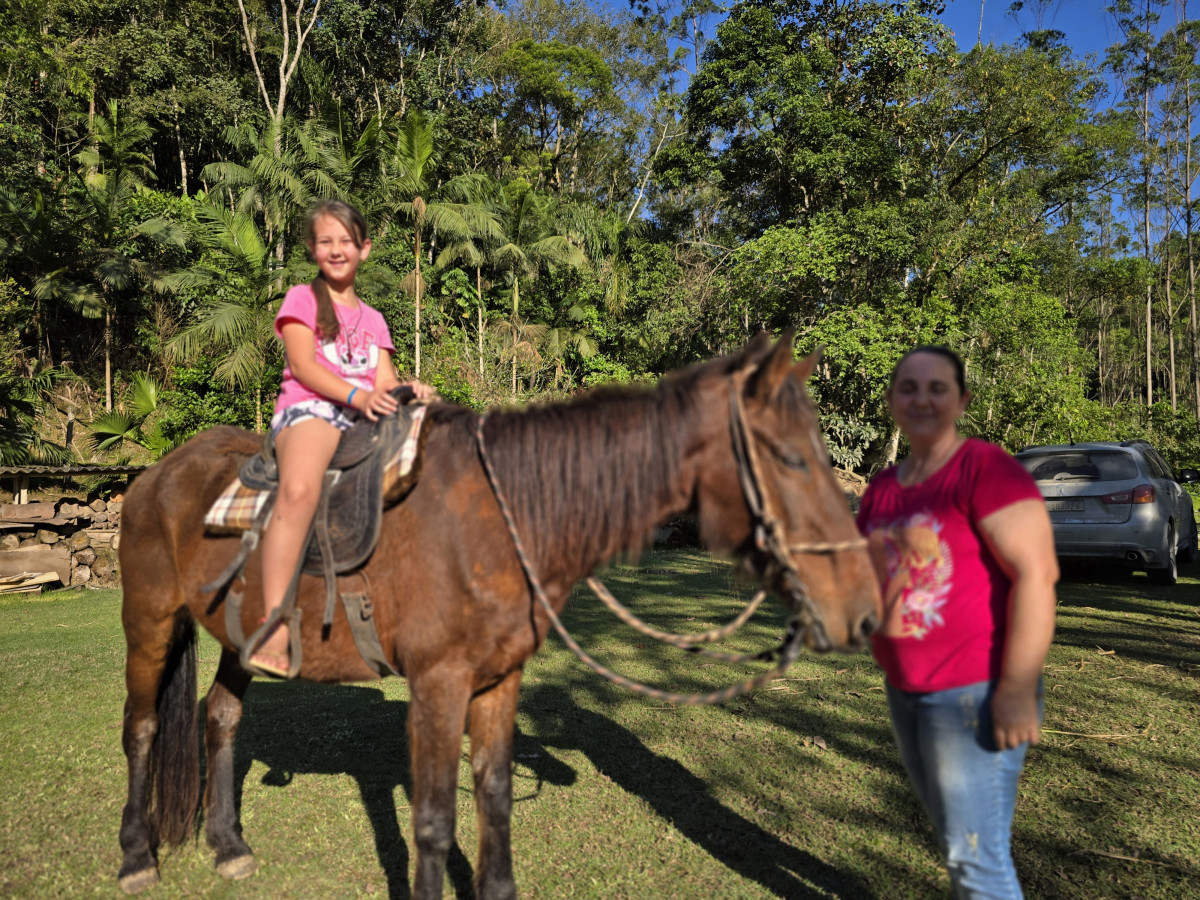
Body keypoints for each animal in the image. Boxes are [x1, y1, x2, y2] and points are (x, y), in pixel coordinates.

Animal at [117, 336, 878, 897]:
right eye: (791, 459)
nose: (864, 611)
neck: (499, 518)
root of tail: (156, 473)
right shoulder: (436, 686)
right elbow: (431, 822)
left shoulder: (497, 682)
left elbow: (495, 797)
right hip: (149, 622)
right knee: (143, 727)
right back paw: (135, 855)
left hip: (239, 637)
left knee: (220, 717)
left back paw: (227, 845)